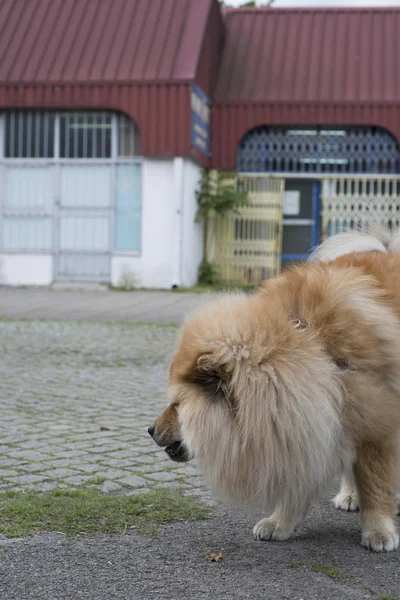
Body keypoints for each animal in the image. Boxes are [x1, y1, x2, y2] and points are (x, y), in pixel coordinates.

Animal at [148, 229, 400, 552]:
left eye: (177, 405)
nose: (150, 429)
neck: (314, 348)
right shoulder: (306, 423)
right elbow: (300, 483)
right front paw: (280, 522)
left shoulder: (374, 424)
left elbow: (375, 482)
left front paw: (378, 530)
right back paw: (350, 495)